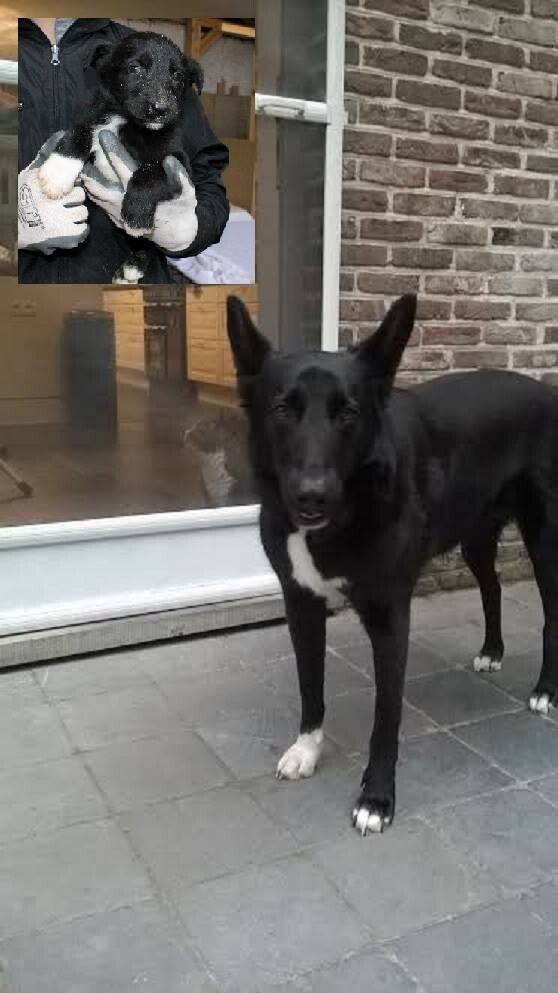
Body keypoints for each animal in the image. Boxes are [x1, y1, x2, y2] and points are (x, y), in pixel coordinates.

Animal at [226, 293, 558, 836]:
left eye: (348, 413)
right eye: (281, 410)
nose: (311, 496)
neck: (348, 508)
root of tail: (547, 392)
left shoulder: (389, 619)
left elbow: (386, 719)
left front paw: (376, 799)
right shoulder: (301, 604)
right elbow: (310, 686)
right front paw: (307, 749)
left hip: (545, 538)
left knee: (551, 616)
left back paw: (546, 690)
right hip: (475, 534)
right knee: (491, 587)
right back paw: (492, 650)